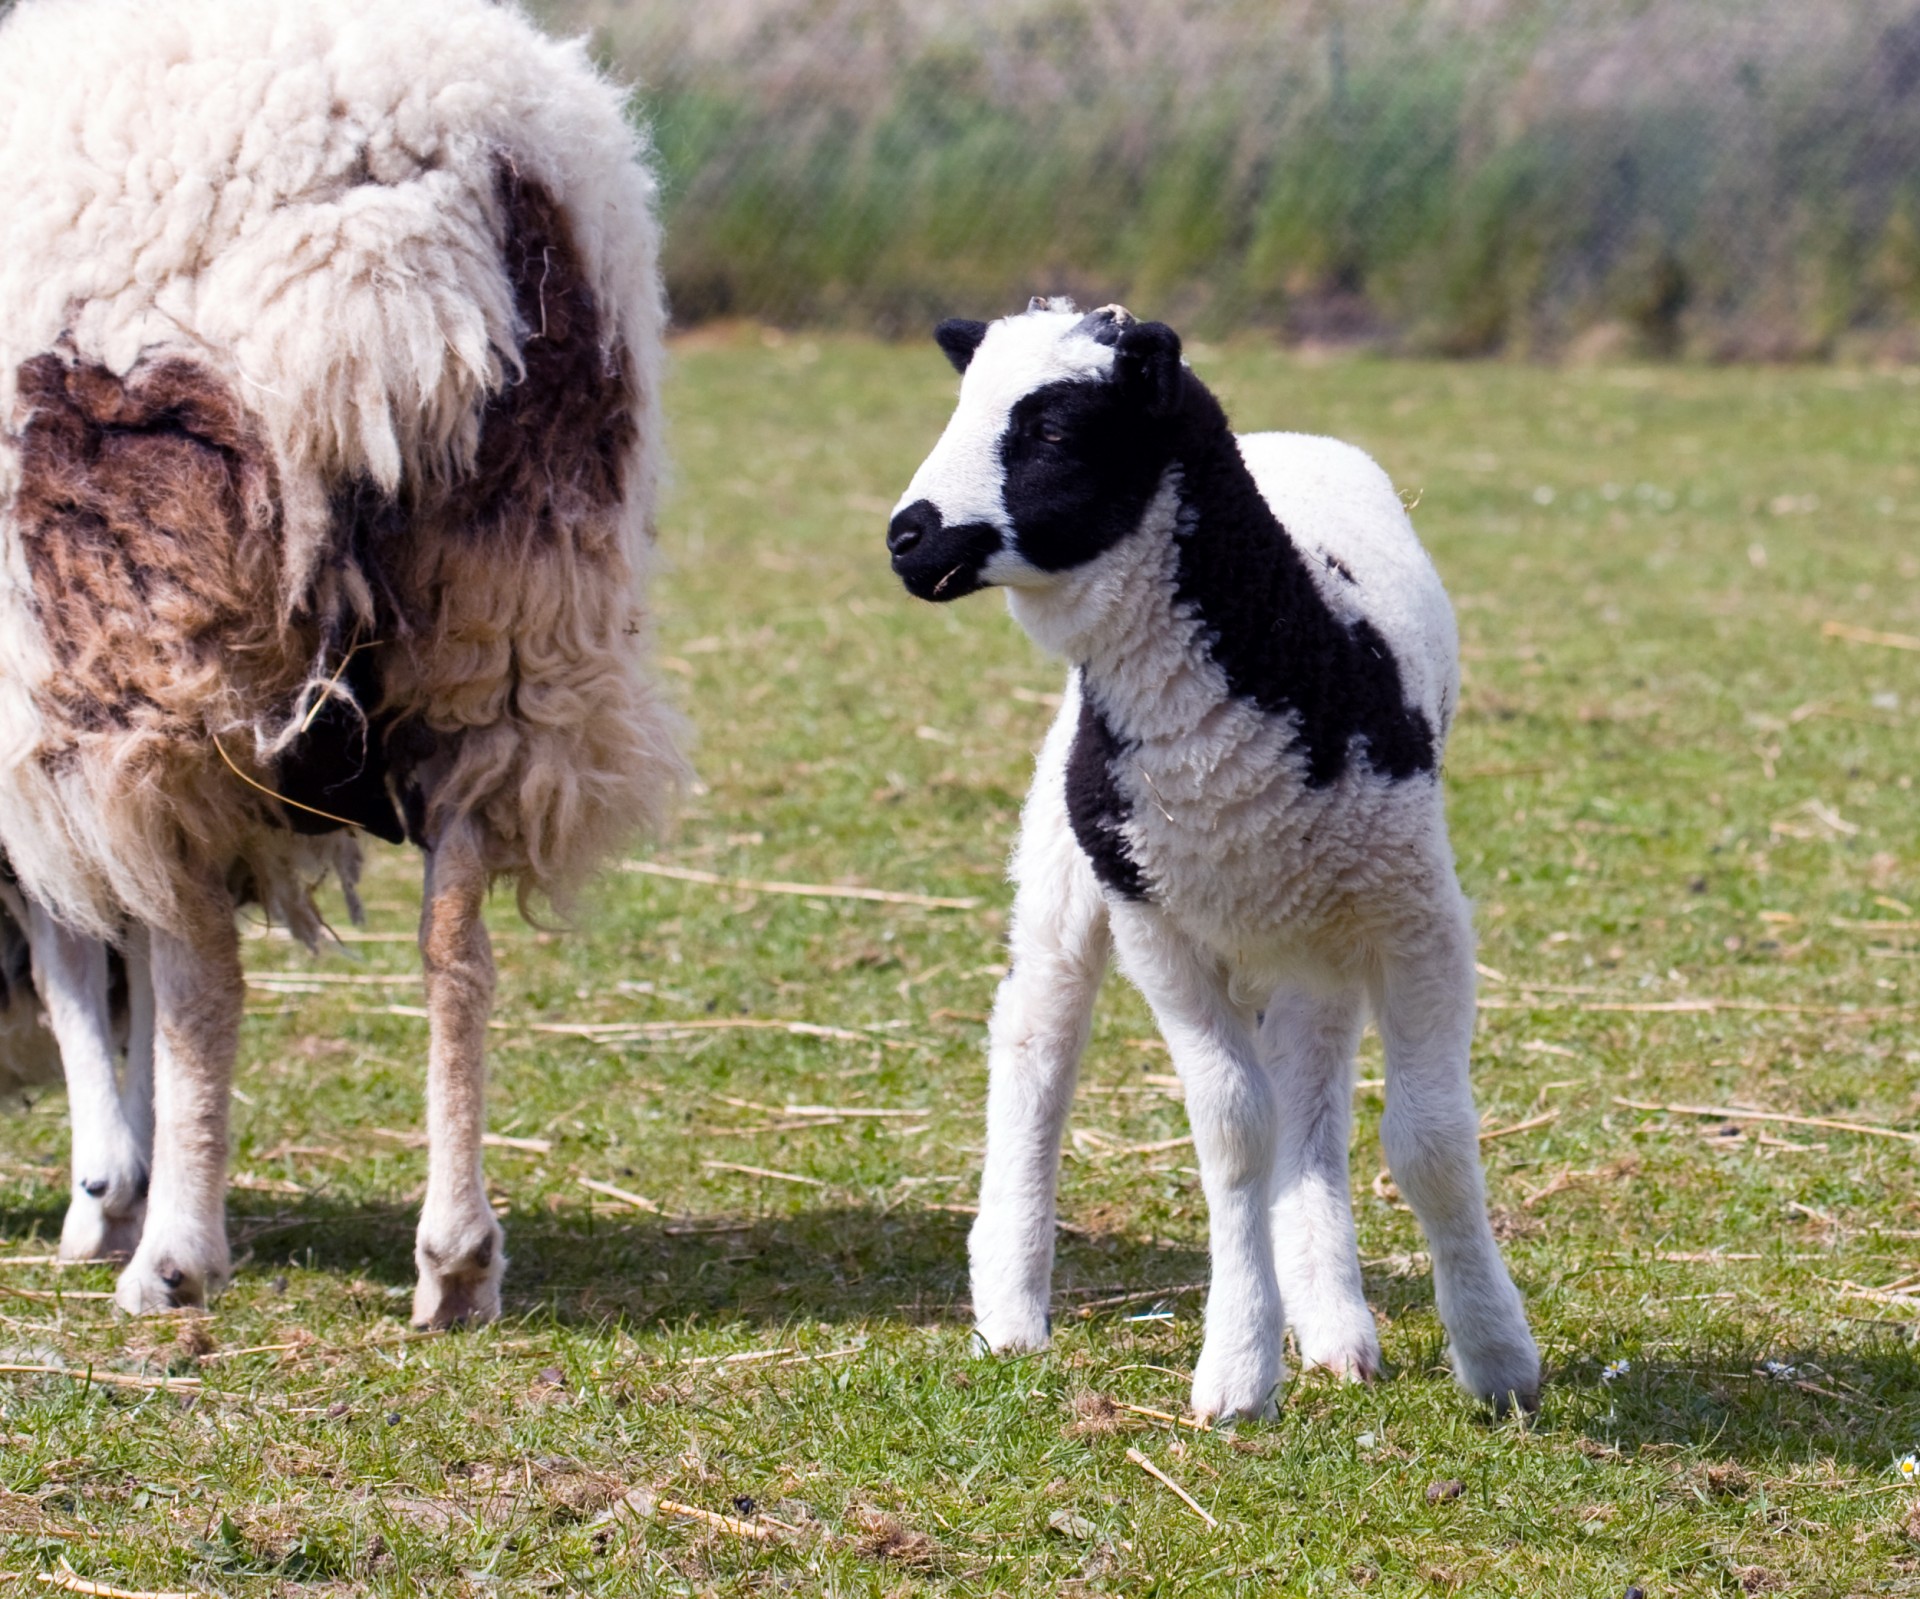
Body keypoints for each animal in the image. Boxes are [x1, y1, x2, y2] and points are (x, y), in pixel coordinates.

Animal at [0, 0, 687, 1320]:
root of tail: (409, 195)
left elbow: (92, 960)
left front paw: (109, 1196)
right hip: (510, 621)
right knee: (456, 942)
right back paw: (457, 1260)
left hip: (156, 640)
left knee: (205, 973)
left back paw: (176, 1261)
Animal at [887, 299, 1543, 1420]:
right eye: (962, 401)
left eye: (1051, 430)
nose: (906, 535)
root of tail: (1288, 438)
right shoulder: (1155, 922)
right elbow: (1235, 1132)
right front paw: (1236, 1370)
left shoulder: (1417, 916)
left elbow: (1429, 1141)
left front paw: (1498, 1358)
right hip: (1069, 872)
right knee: (1037, 1045)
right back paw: (1011, 1308)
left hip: (1313, 926)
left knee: (1314, 1092)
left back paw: (1333, 1320)